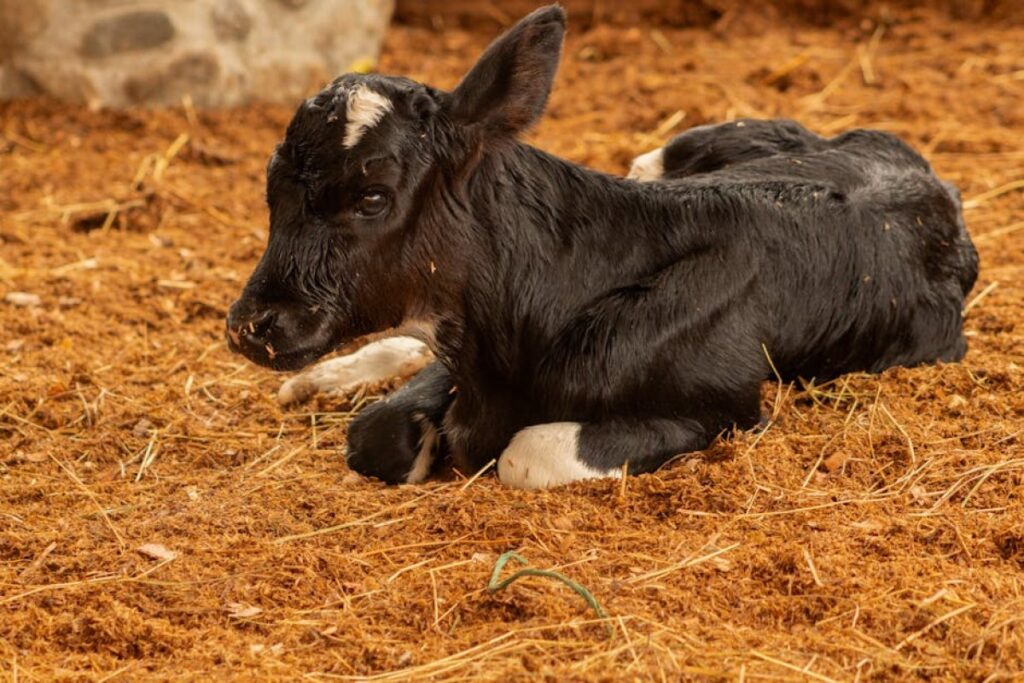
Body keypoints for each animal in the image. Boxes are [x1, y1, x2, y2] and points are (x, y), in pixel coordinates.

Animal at [226, 5, 979, 489]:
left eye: (373, 197)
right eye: (270, 187)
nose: (250, 325)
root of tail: (919, 170)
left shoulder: (725, 407)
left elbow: (524, 453)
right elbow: (380, 430)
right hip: (673, 149)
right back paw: (320, 378)